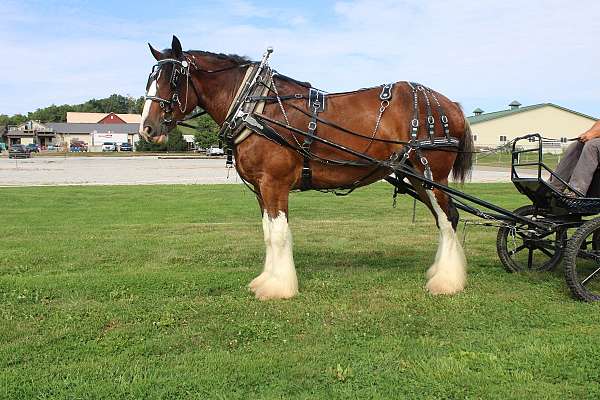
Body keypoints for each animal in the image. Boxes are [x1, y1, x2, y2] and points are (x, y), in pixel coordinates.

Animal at [139, 36, 474, 300]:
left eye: (173, 79)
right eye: (150, 80)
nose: (147, 129)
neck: (254, 106)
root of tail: (452, 106)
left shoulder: (274, 184)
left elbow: (278, 234)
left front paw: (278, 287)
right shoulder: (261, 190)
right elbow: (267, 232)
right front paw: (267, 279)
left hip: (432, 175)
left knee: (449, 218)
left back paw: (446, 281)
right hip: (415, 176)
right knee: (444, 220)